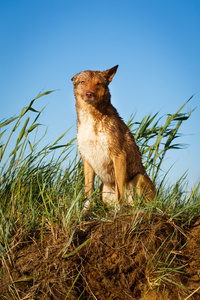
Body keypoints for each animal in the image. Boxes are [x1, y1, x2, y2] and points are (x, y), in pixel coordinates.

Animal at [71, 65, 155, 211]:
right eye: (83, 82)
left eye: (98, 84)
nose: (89, 94)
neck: (91, 118)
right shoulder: (87, 159)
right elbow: (88, 193)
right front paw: (83, 212)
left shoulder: (119, 155)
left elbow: (119, 192)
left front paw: (117, 211)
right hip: (103, 190)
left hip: (139, 178)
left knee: (140, 205)